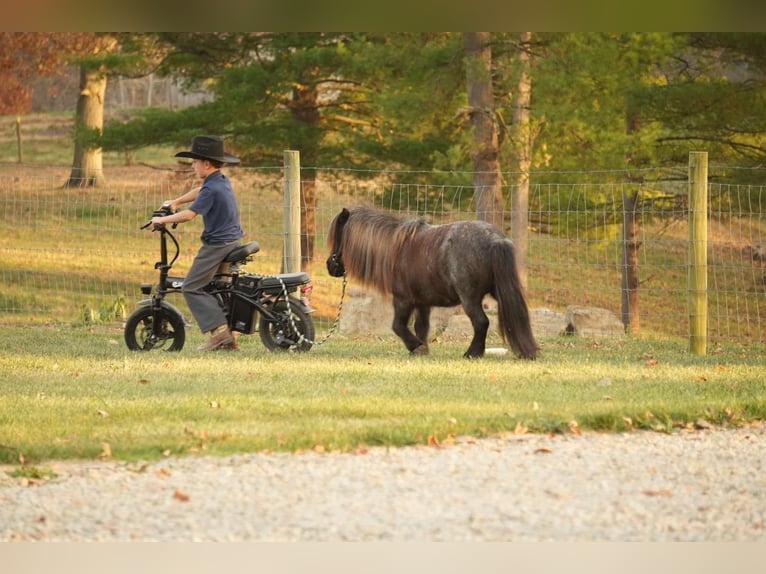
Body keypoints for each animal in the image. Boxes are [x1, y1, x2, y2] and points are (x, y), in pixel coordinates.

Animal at [326, 207, 540, 360]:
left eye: (338, 237)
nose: (330, 265)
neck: (396, 249)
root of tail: (494, 239)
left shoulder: (402, 300)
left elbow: (398, 326)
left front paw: (416, 347)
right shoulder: (422, 302)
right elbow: (422, 326)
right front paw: (422, 348)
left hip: (470, 299)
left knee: (481, 322)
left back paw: (472, 353)